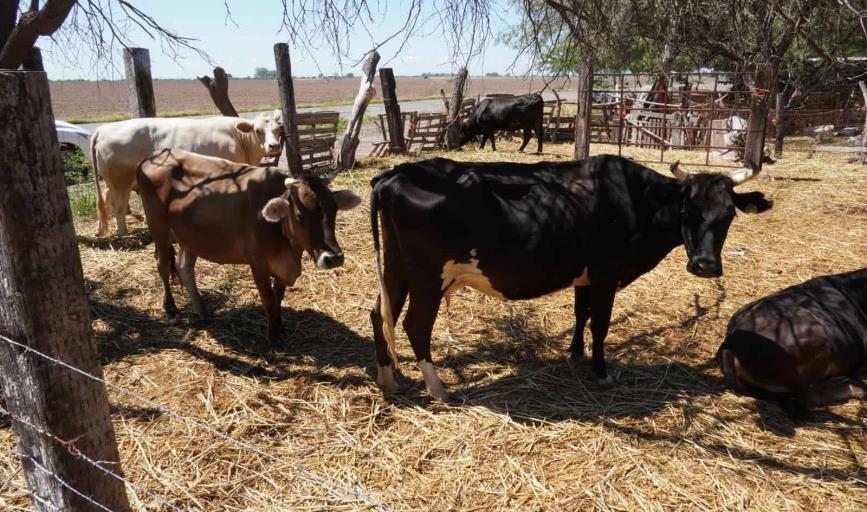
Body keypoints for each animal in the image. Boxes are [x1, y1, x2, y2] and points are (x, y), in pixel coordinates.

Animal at [92, 112, 284, 236]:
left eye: (277, 130)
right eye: (258, 131)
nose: (274, 146)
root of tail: (104, 128)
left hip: (113, 182)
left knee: (105, 201)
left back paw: (101, 229)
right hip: (121, 181)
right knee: (118, 206)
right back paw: (123, 233)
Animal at [137, 148, 362, 342]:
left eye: (334, 210)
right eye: (301, 215)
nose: (334, 258)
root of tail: (151, 156)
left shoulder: (281, 266)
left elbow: (278, 298)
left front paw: (279, 328)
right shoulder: (258, 262)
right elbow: (268, 299)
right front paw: (272, 338)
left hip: (190, 237)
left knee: (184, 268)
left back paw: (203, 312)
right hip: (158, 226)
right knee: (162, 265)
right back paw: (170, 307)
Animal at [366, 153, 772, 400]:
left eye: (728, 215)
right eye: (688, 210)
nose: (705, 265)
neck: (635, 199)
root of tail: (395, 173)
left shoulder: (585, 275)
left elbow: (581, 314)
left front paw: (575, 353)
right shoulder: (607, 273)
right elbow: (600, 323)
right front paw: (601, 371)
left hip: (396, 268)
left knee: (380, 315)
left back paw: (388, 380)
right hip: (427, 276)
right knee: (415, 324)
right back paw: (438, 389)